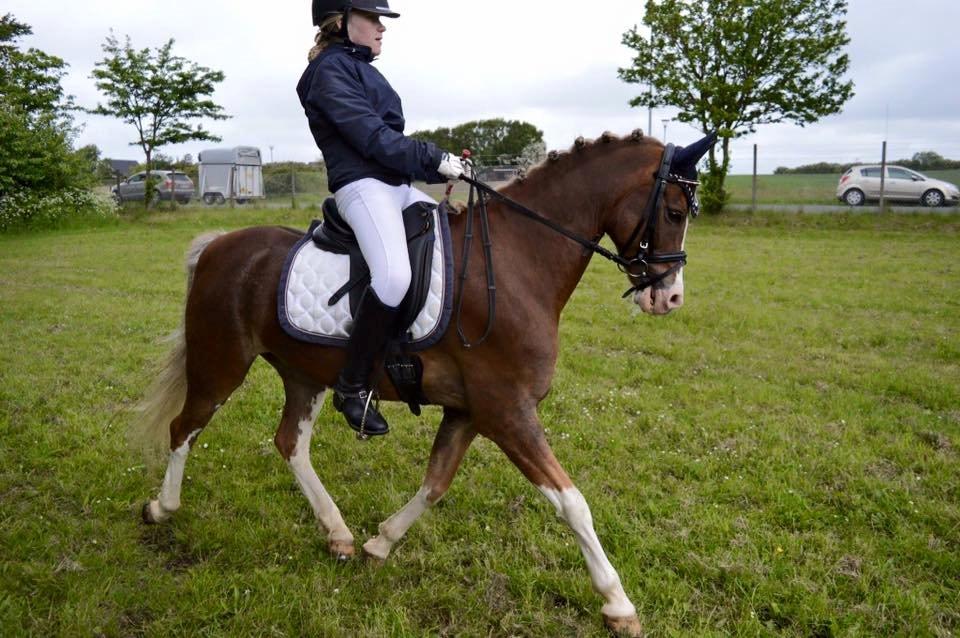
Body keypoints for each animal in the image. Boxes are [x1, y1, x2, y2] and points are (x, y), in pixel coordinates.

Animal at [134, 129, 717, 637]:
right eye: (672, 212)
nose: (669, 297)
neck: (517, 260)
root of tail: (219, 246)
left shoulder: (471, 412)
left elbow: (436, 483)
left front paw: (380, 544)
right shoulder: (508, 412)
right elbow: (572, 503)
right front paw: (618, 604)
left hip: (305, 374)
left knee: (290, 443)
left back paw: (339, 534)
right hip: (220, 365)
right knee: (184, 429)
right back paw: (161, 508)